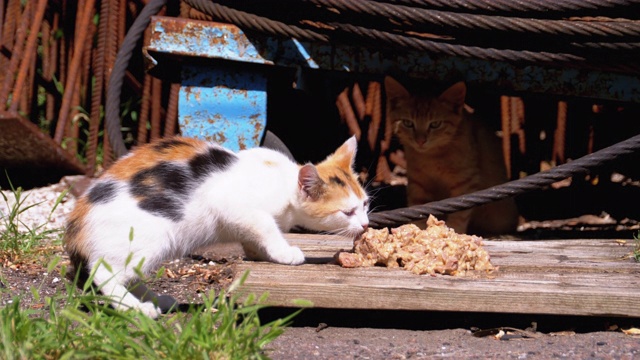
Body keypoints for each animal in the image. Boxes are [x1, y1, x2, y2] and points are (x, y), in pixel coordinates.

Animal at [63, 137, 370, 318]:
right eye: (347, 212)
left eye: (365, 204)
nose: (366, 224)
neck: (283, 182)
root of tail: (78, 219)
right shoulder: (231, 203)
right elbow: (266, 226)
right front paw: (286, 253)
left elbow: (253, 235)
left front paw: (262, 253)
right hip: (149, 238)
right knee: (104, 274)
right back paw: (138, 309)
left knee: (128, 275)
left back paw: (158, 300)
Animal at [382, 75, 516, 233]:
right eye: (408, 123)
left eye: (435, 124)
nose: (421, 141)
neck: (431, 157)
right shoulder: (418, 182)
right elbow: (418, 208)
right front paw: (418, 230)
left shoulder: (465, 181)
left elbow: (459, 213)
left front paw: (454, 230)